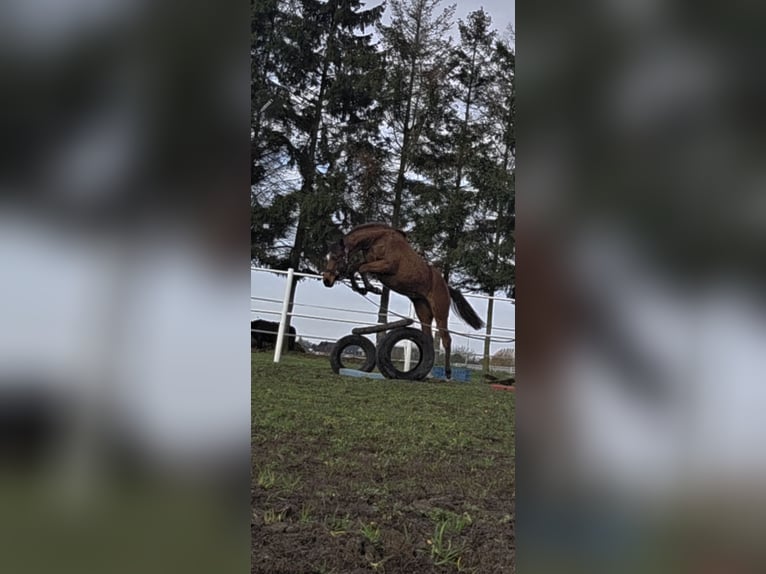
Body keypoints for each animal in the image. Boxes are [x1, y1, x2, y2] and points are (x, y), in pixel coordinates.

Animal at [321, 222, 484, 379]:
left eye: (337, 257)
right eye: (327, 258)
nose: (327, 281)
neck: (377, 240)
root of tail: (446, 286)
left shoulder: (386, 265)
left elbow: (360, 268)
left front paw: (372, 288)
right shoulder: (371, 263)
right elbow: (354, 268)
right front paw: (362, 289)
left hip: (440, 311)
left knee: (446, 339)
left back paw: (448, 373)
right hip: (422, 309)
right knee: (428, 339)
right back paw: (425, 372)